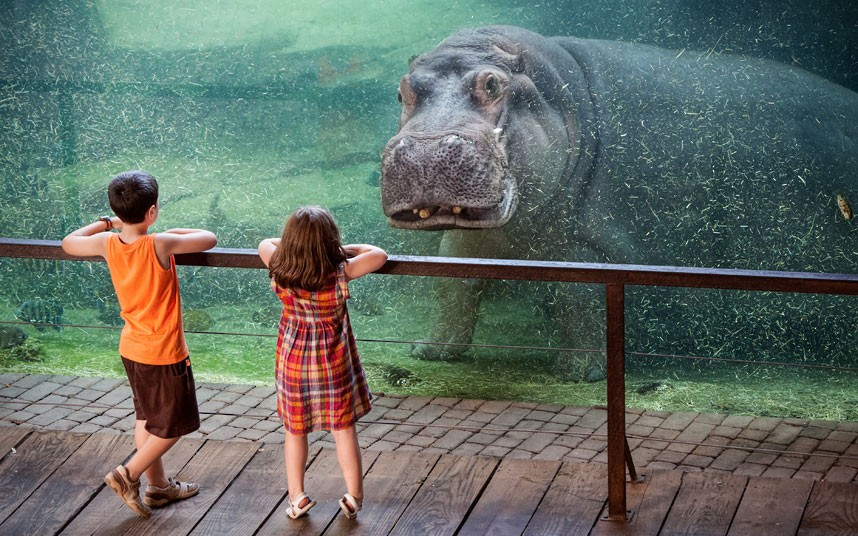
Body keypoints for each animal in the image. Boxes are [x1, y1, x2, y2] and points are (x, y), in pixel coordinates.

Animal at [381, 26, 858, 379]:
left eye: (493, 83)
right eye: (403, 90)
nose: (425, 150)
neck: (571, 98)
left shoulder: (587, 243)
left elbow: (577, 299)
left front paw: (576, 373)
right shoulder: (480, 238)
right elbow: (453, 283)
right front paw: (429, 351)